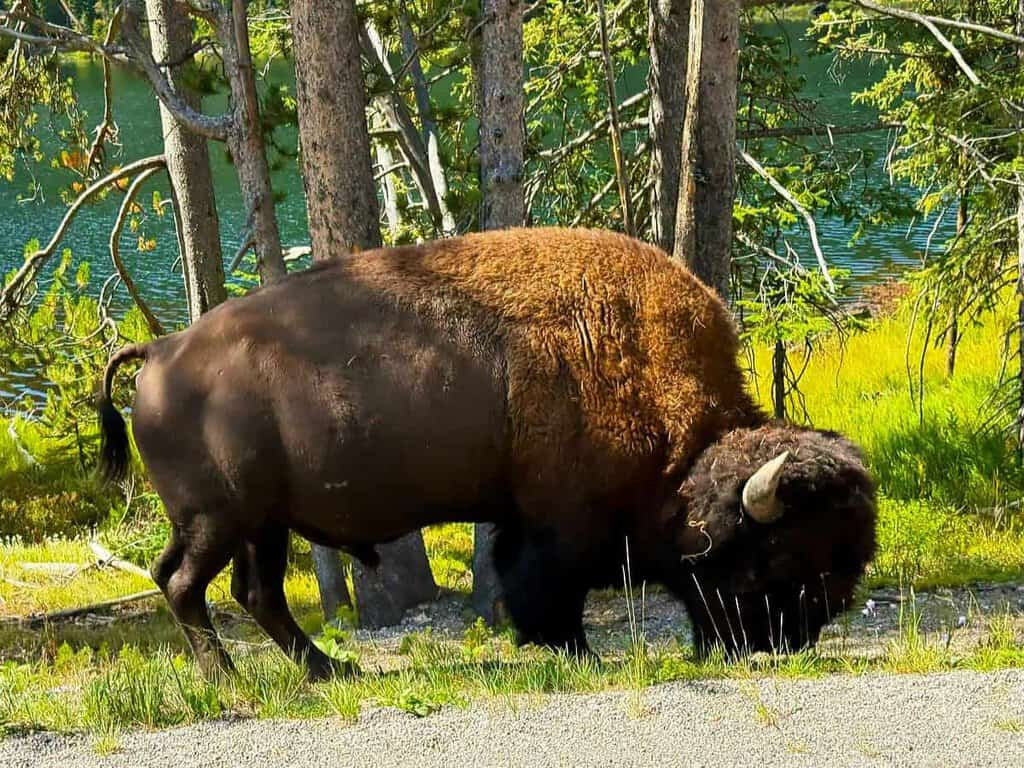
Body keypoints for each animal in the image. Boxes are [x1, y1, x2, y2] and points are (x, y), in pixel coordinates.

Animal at [97, 227, 876, 679]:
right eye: (781, 555)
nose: (792, 639)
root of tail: (162, 351)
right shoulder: (558, 522)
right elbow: (543, 584)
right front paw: (573, 652)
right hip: (217, 520)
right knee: (182, 583)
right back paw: (228, 679)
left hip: (262, 524)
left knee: (253, 593)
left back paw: (330, 671)